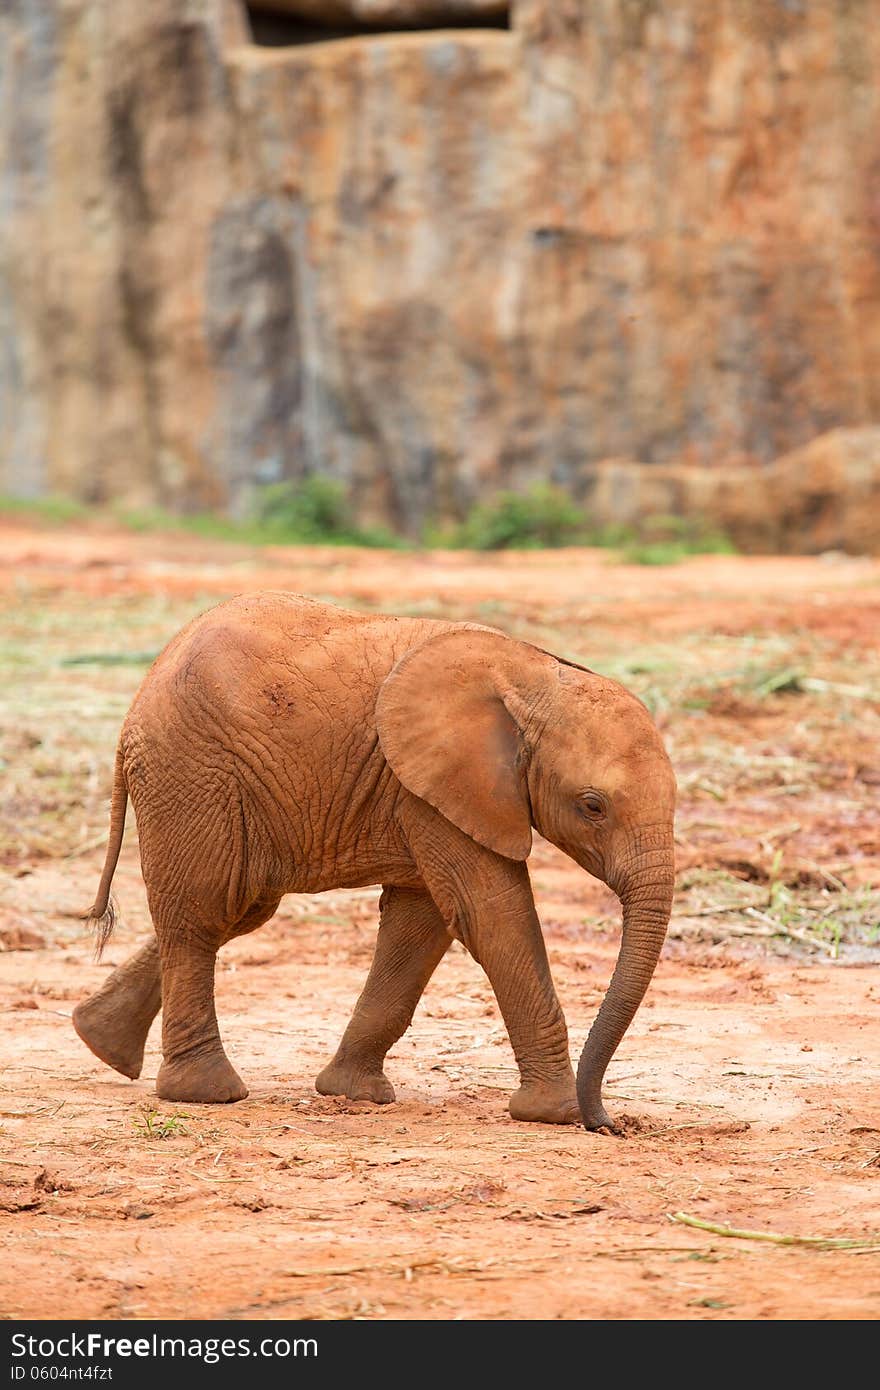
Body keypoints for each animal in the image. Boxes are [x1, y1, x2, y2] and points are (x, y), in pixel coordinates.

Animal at [75, 594, 675, 1128]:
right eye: (592, 806)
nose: (609, 1123)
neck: (538, 674)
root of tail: (138, 703)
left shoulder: (428, 789)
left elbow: (423, 923)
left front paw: (352, 1093)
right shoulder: (433, 784)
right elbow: (490, 914)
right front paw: (557, 1113)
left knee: (237, 909)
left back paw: (100, 1043)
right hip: (192, 773)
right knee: (203, 914)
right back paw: (206, 1094)